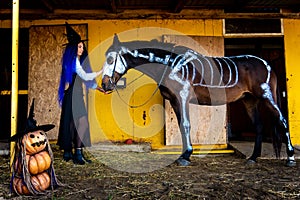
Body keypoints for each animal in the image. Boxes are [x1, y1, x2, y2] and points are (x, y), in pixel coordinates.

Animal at [100, 33, 296, 166]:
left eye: (110, 59)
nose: (105, 85)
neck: (172, 65)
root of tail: (266, 64)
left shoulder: (182, 97)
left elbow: (186, 124)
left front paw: (186, 156)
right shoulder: (174, 101)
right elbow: (181, 126)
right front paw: (183, 155)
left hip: (267, 97)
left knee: (282, 121)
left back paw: (291, 158)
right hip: (249, 101)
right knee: (259, 126)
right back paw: (253, 158)